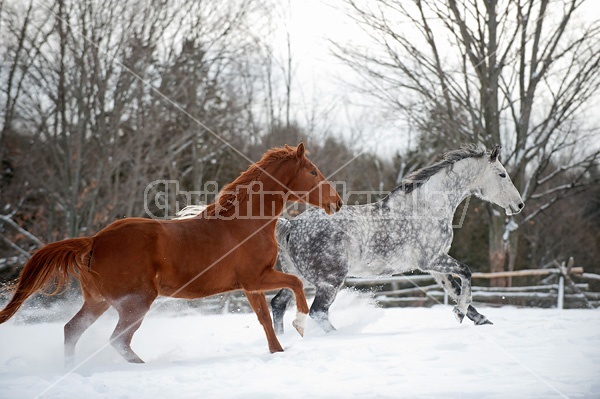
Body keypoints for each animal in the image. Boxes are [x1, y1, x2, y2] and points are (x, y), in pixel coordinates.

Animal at [0, 144, 342, 366]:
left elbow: (265, 320)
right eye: (313, 171)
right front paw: (301, 325)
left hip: (98, 301)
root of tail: (94, 240)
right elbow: (296, 285)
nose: (336, 202)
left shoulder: (250, 286)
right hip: (136, 302)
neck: (245, 223)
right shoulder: (257, 277)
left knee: (72, 330)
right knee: (118, 340)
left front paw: (278, 352)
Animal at [274, 145, 524, 332]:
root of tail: (292, 225)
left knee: (278, 304)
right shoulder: (432, 259)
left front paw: (478, 318)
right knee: (317, 312)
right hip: (330, 280)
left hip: (299, 277)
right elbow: (466, 273)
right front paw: (460, 313)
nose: (519, 205)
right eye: (502, 174)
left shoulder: (434, 266)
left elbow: (454, 288)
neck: (428, 206)